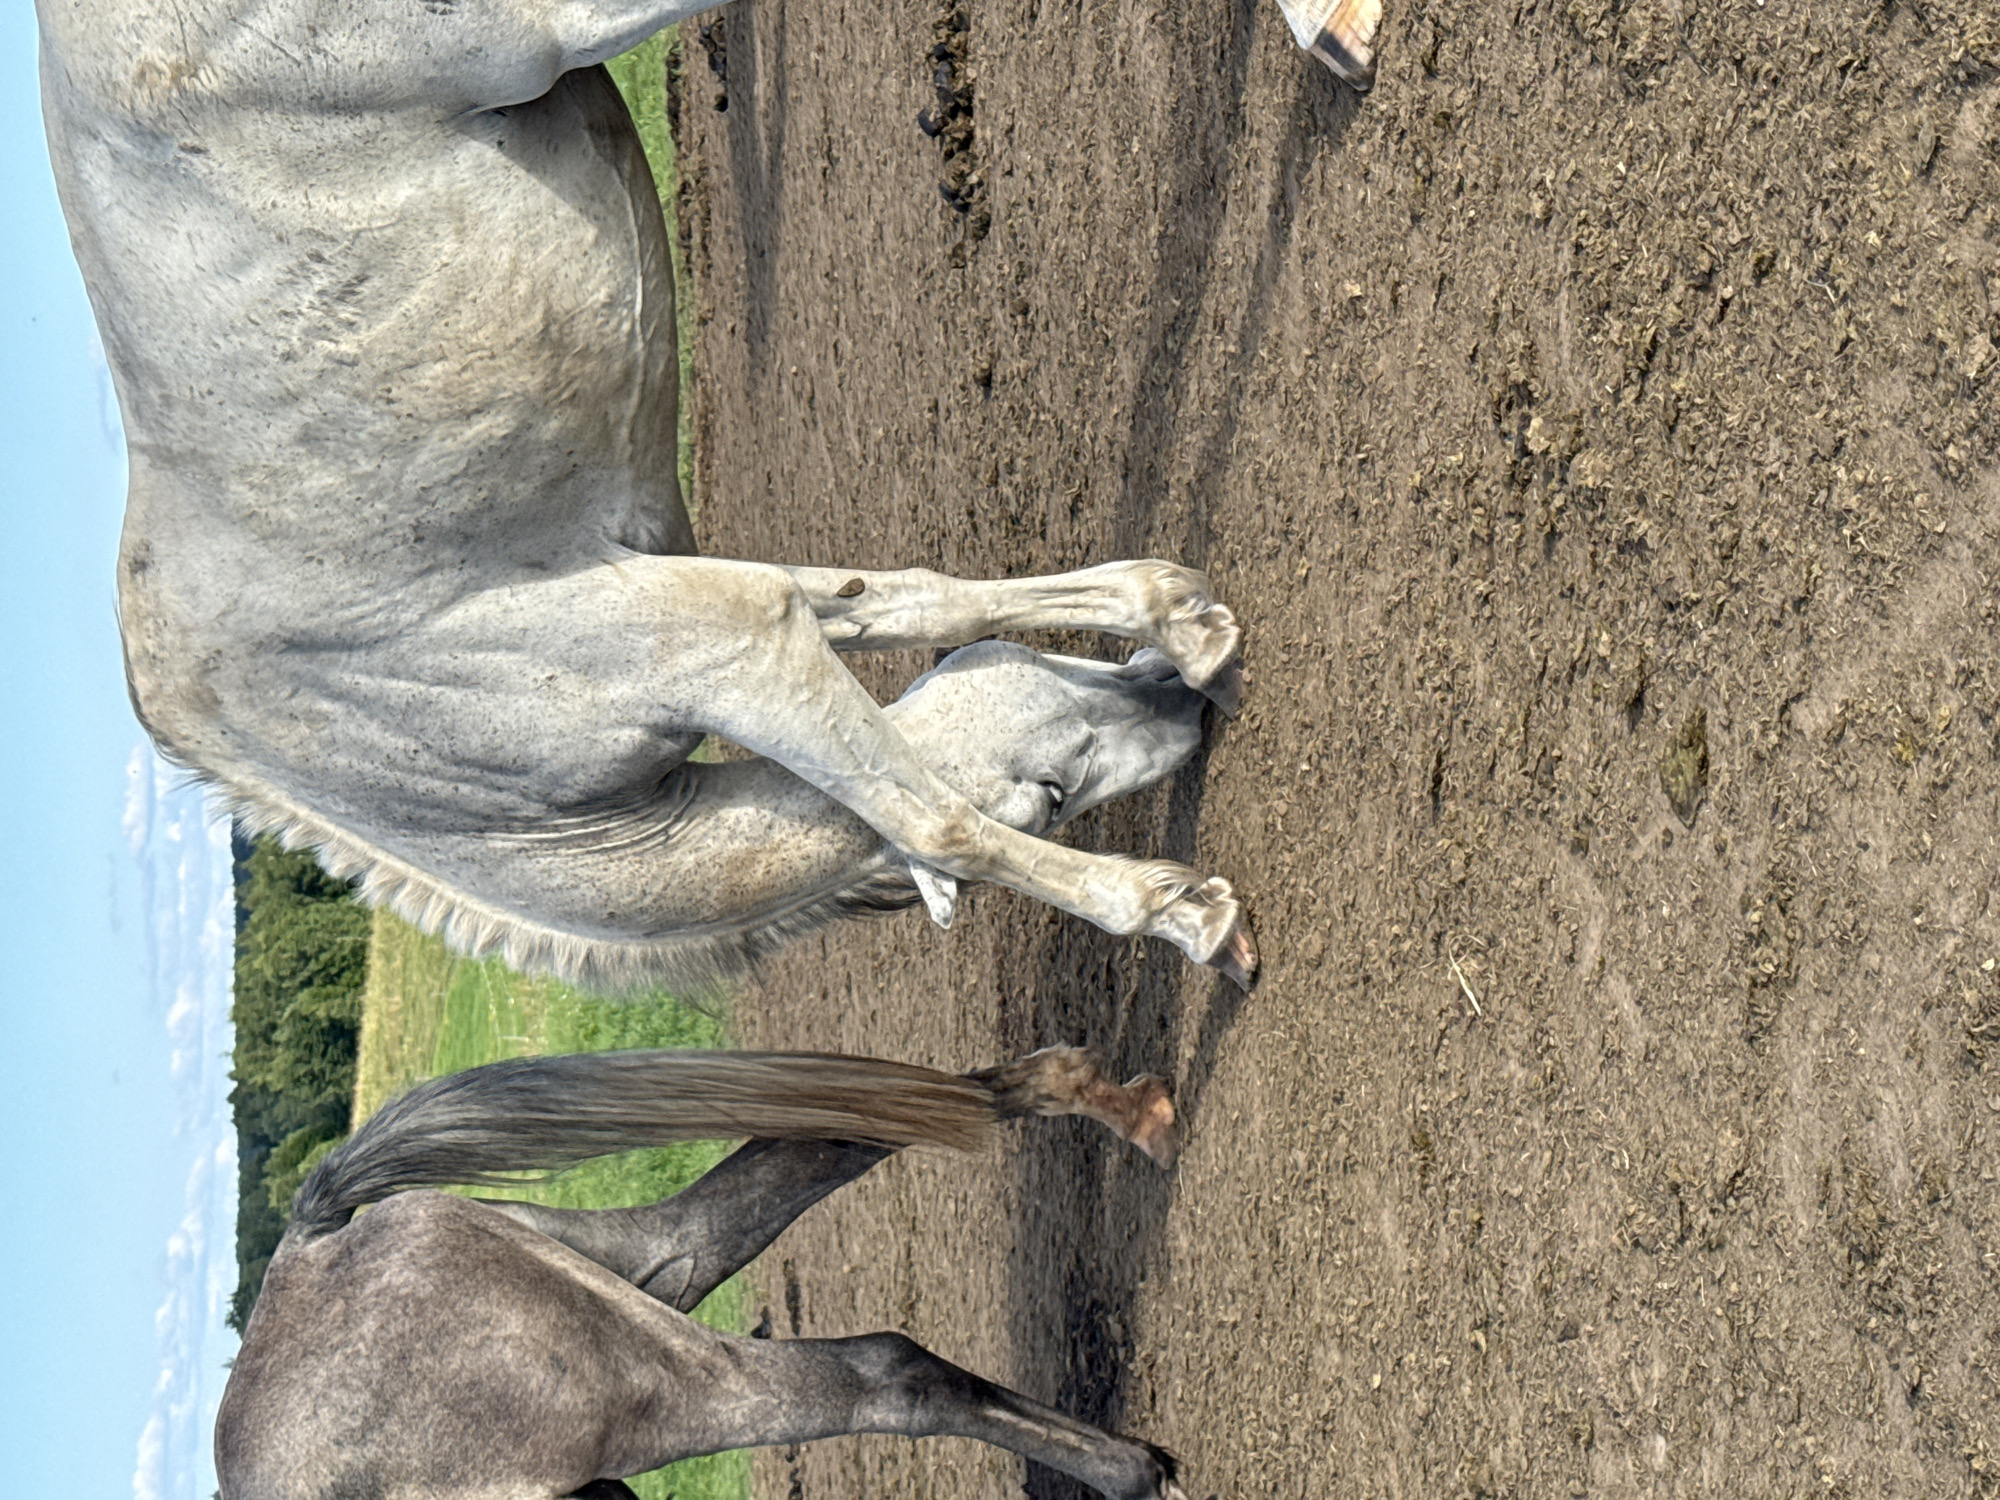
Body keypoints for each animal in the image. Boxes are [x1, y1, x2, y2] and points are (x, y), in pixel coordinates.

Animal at [36, 0, 1285, 994]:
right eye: (1052, 791)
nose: (1175, 712)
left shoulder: (726, 646)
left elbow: (925, 785)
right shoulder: (717, 605)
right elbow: (923, 645)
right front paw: (1179, 637)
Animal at [219, 1045, 1190, 1499]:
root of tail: (307, 1252)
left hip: (648, 1388)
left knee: (888, 1374)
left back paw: (1138, 1473)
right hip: (647, 1268)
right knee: (828, 1143)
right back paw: (1112, 1102)